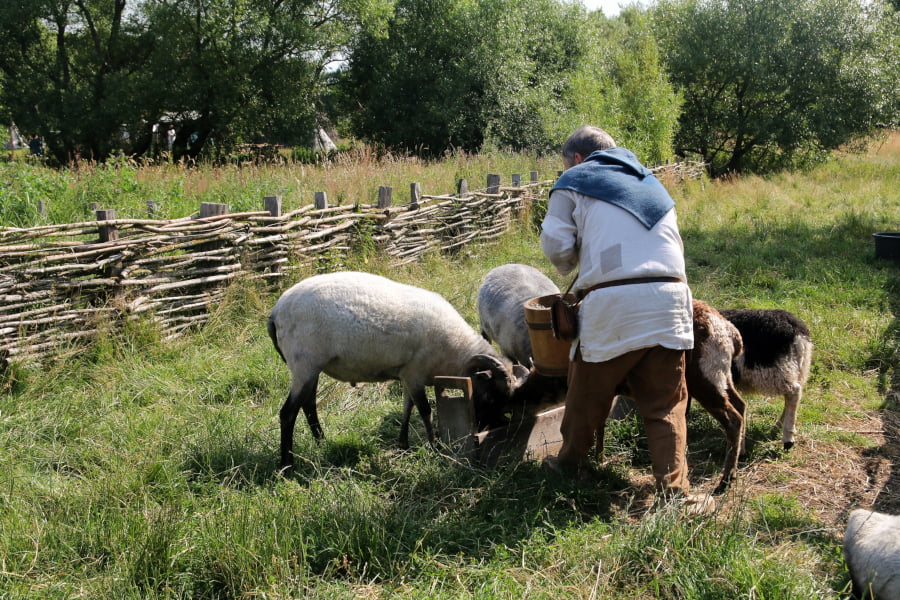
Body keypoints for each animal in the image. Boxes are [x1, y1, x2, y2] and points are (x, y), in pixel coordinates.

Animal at [268, 270, 528, 468]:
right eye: (491, 397)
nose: (493, 427)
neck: (456, 350)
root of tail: (275, 312)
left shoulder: (407, 374)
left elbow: (407, 407)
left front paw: (403, 444)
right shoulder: (415, 373)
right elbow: (425, 411)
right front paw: (435, 447)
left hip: (311, 368)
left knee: (309, 405)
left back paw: (322, 442)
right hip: (304, 364)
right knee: (288, 412)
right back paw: (287, 465)